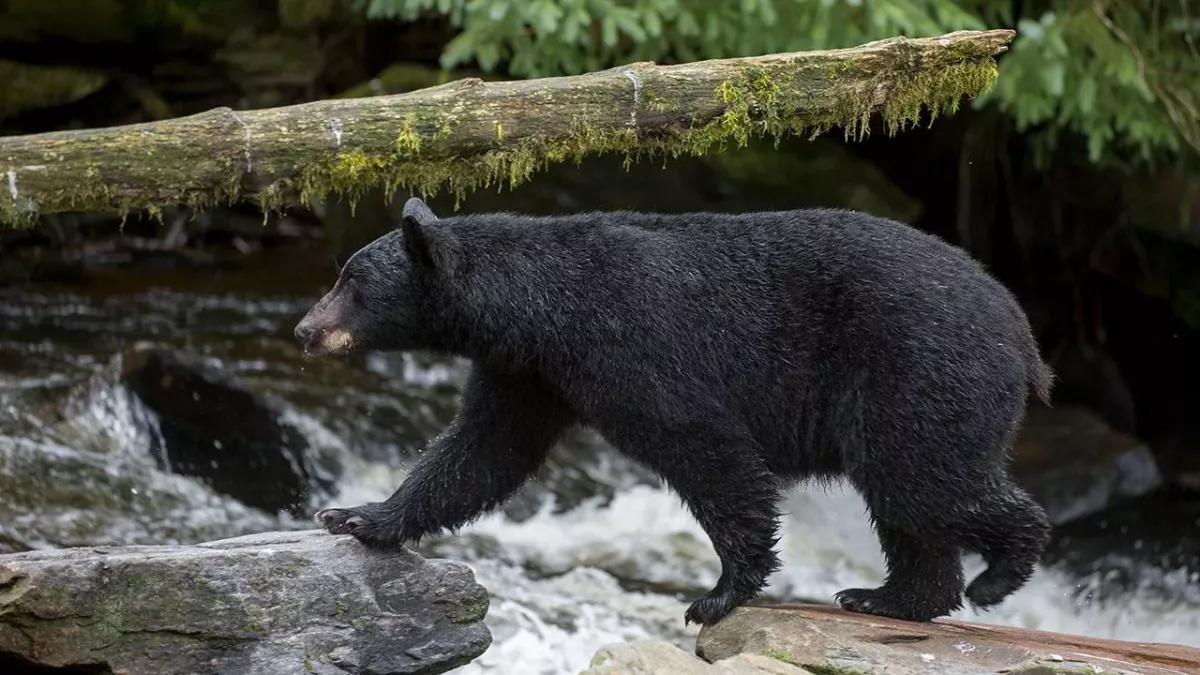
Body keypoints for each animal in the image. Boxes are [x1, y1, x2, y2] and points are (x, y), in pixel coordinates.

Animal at [294, 196, 1053, 627]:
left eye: (350, 283)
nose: (304, 329)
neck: (537, 309)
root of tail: (1022, 330)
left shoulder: (632, 347)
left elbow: (706, 447)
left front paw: (717, 595)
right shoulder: (528, 374)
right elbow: (482, 451)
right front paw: (358, 516)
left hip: (918, 370)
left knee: (922, 482)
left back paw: (999, 573)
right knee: (909, 502)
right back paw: (888, 597)